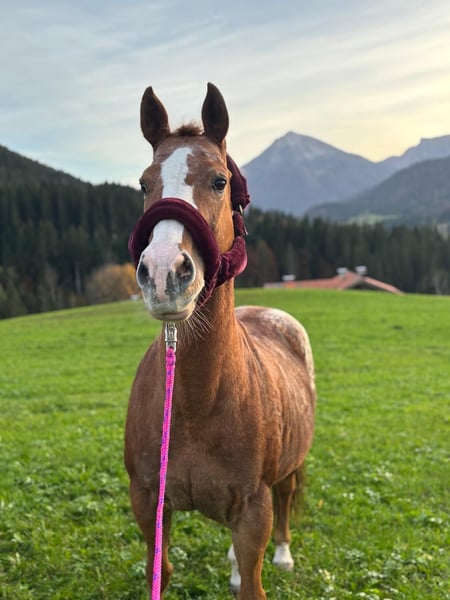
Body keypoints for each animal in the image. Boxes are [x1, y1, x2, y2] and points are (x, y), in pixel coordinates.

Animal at [125, 82, 316, 599]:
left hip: (283, 477)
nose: (164, 273)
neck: (197, 400)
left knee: (287, 496)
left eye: (218, 181)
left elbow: (252, 583)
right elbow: (162, 571)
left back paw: (284, 553)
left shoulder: (253, 510)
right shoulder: (148, 502)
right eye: (144, 184)